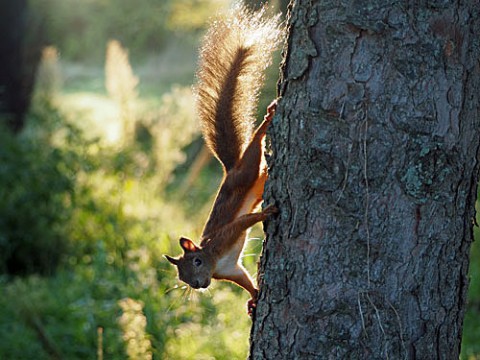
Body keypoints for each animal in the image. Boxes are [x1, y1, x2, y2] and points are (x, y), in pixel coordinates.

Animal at [164, 3, 282, 316]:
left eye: (196, 261)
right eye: (182, 277)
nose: (198, 285)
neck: (215, 259)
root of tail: (230, 169)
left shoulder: (226, 236)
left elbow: (246, 221)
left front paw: (267, 213)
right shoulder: (231, 270)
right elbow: (246, 281)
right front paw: (253, 300)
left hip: (246, 168)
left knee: (255, 146)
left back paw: (268, 119)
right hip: (253, 178)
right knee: (262, 175)